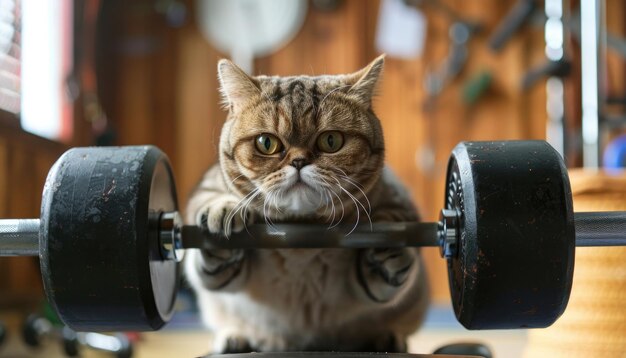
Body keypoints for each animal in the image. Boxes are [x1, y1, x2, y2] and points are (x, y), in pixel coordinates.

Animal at [183, 56, 426, 352]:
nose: (299, 161)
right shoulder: (209, 189)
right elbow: (208, 213)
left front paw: (387, 252)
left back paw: (386, 339)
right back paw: (234, 339)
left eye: (331, 141)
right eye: (266, 143)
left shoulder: (397, 201)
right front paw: (222, 213)